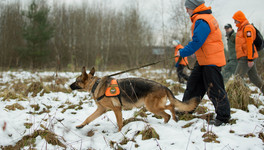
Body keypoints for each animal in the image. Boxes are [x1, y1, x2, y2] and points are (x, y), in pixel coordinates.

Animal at [70, 67, 200, 131]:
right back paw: (165, 123)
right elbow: (89, 118)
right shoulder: (101, 110)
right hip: (154, 108)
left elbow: (119, 123)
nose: (69, 86)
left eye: (76, 81)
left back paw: (174, 116)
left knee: (171, 106)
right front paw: (81, 125)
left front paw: (119, 133)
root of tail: (164, 86)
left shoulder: (116, 109)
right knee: (166, 114)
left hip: (152, 107)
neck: (95, 84)